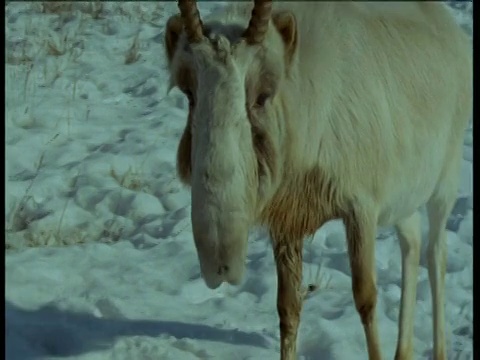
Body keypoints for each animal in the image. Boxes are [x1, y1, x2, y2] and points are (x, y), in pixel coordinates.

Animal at [163, 1, 470, 358]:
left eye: (263, 95)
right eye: (189, 93)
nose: (220, 264)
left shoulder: (360, 210)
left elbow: (366, 298)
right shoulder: (287, 222)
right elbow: (288, 308)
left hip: (444, 183)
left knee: (436, 254)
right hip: (403, 198)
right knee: (412, 242)